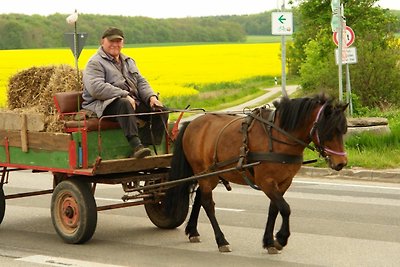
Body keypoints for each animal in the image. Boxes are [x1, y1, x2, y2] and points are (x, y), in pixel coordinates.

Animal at [165, 94, 346, 255]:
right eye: (329, 131)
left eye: (343, 130)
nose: (341, 163)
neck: (278, 136)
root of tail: (192, 123)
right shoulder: (266, 182)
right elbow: (285, 208)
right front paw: (281, 238)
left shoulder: (284, 182)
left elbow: (274, 209)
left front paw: (269, 242)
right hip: (203, 173)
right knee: (208, 204)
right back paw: (221, 240)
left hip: (212, 174)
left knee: (199, 199)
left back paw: (193, 231)